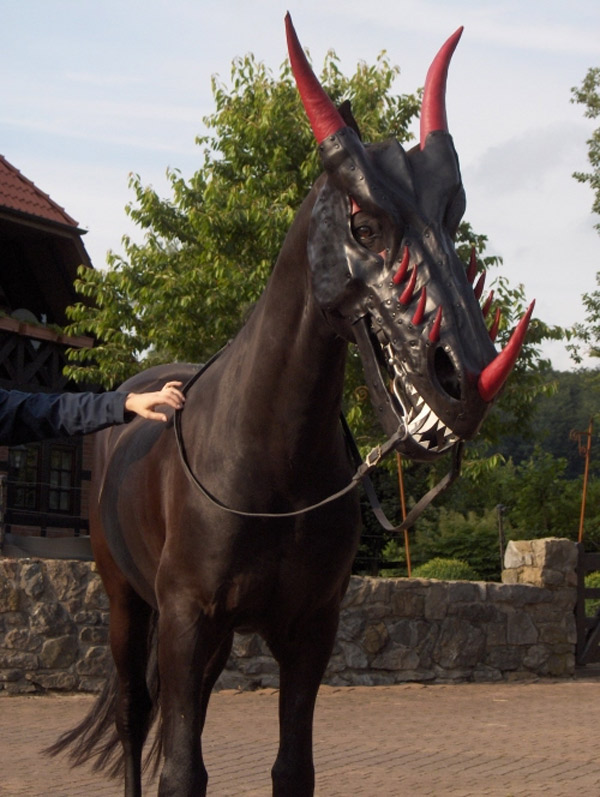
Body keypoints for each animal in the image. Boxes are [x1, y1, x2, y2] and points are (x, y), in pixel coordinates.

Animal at [49, 14, 532, 796]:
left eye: (454, 217)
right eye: (363, 223)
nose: (463, 381)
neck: (272, 458)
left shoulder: (310, 629)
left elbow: (292, 767)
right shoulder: (185, 618)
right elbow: (179, 770)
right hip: (127, 601)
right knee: (132, 713)